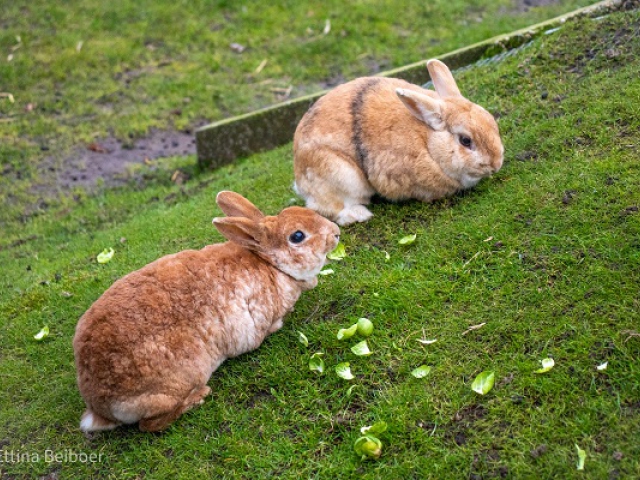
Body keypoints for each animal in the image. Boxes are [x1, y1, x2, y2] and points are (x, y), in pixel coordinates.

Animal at [74, 190, 340, 432]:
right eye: (298, 236)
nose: (336, 232)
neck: (271, 265)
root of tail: (100, 407)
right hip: (172, 386)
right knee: (149, 424)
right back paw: (198, 397)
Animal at [292, 59, 502, 225]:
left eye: (490, 119)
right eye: (465, 140)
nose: (496, 164)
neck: (427, 141)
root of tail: (299, 178)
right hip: (343, 175)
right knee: (328, 209)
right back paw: (359, 214)